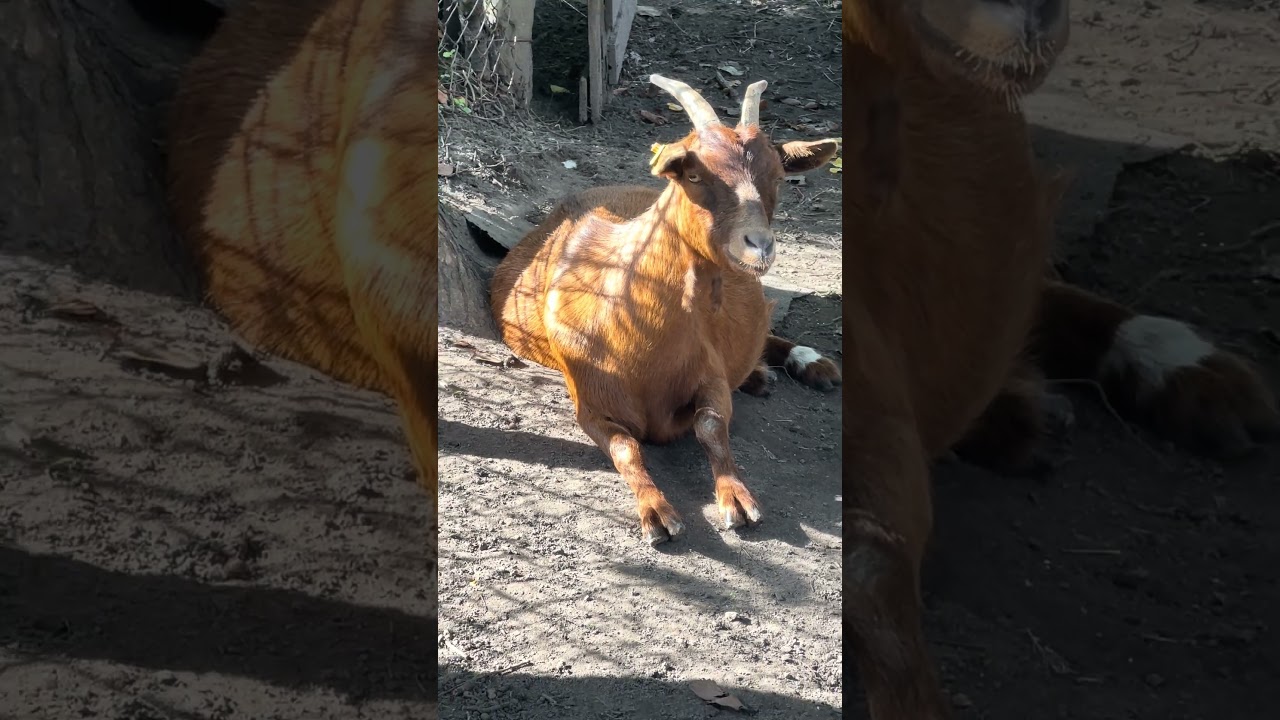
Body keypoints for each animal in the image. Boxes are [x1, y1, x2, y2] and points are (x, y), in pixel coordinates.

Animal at [490, 75, 842, 546]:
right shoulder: (589, 402)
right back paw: (761, 377)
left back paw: (810, 363)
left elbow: (710, 425)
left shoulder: (710, 371)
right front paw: (656, 513)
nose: (759, 245)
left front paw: (737, 499)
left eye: (779, 177)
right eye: (693, 173)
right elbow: (626, 449)